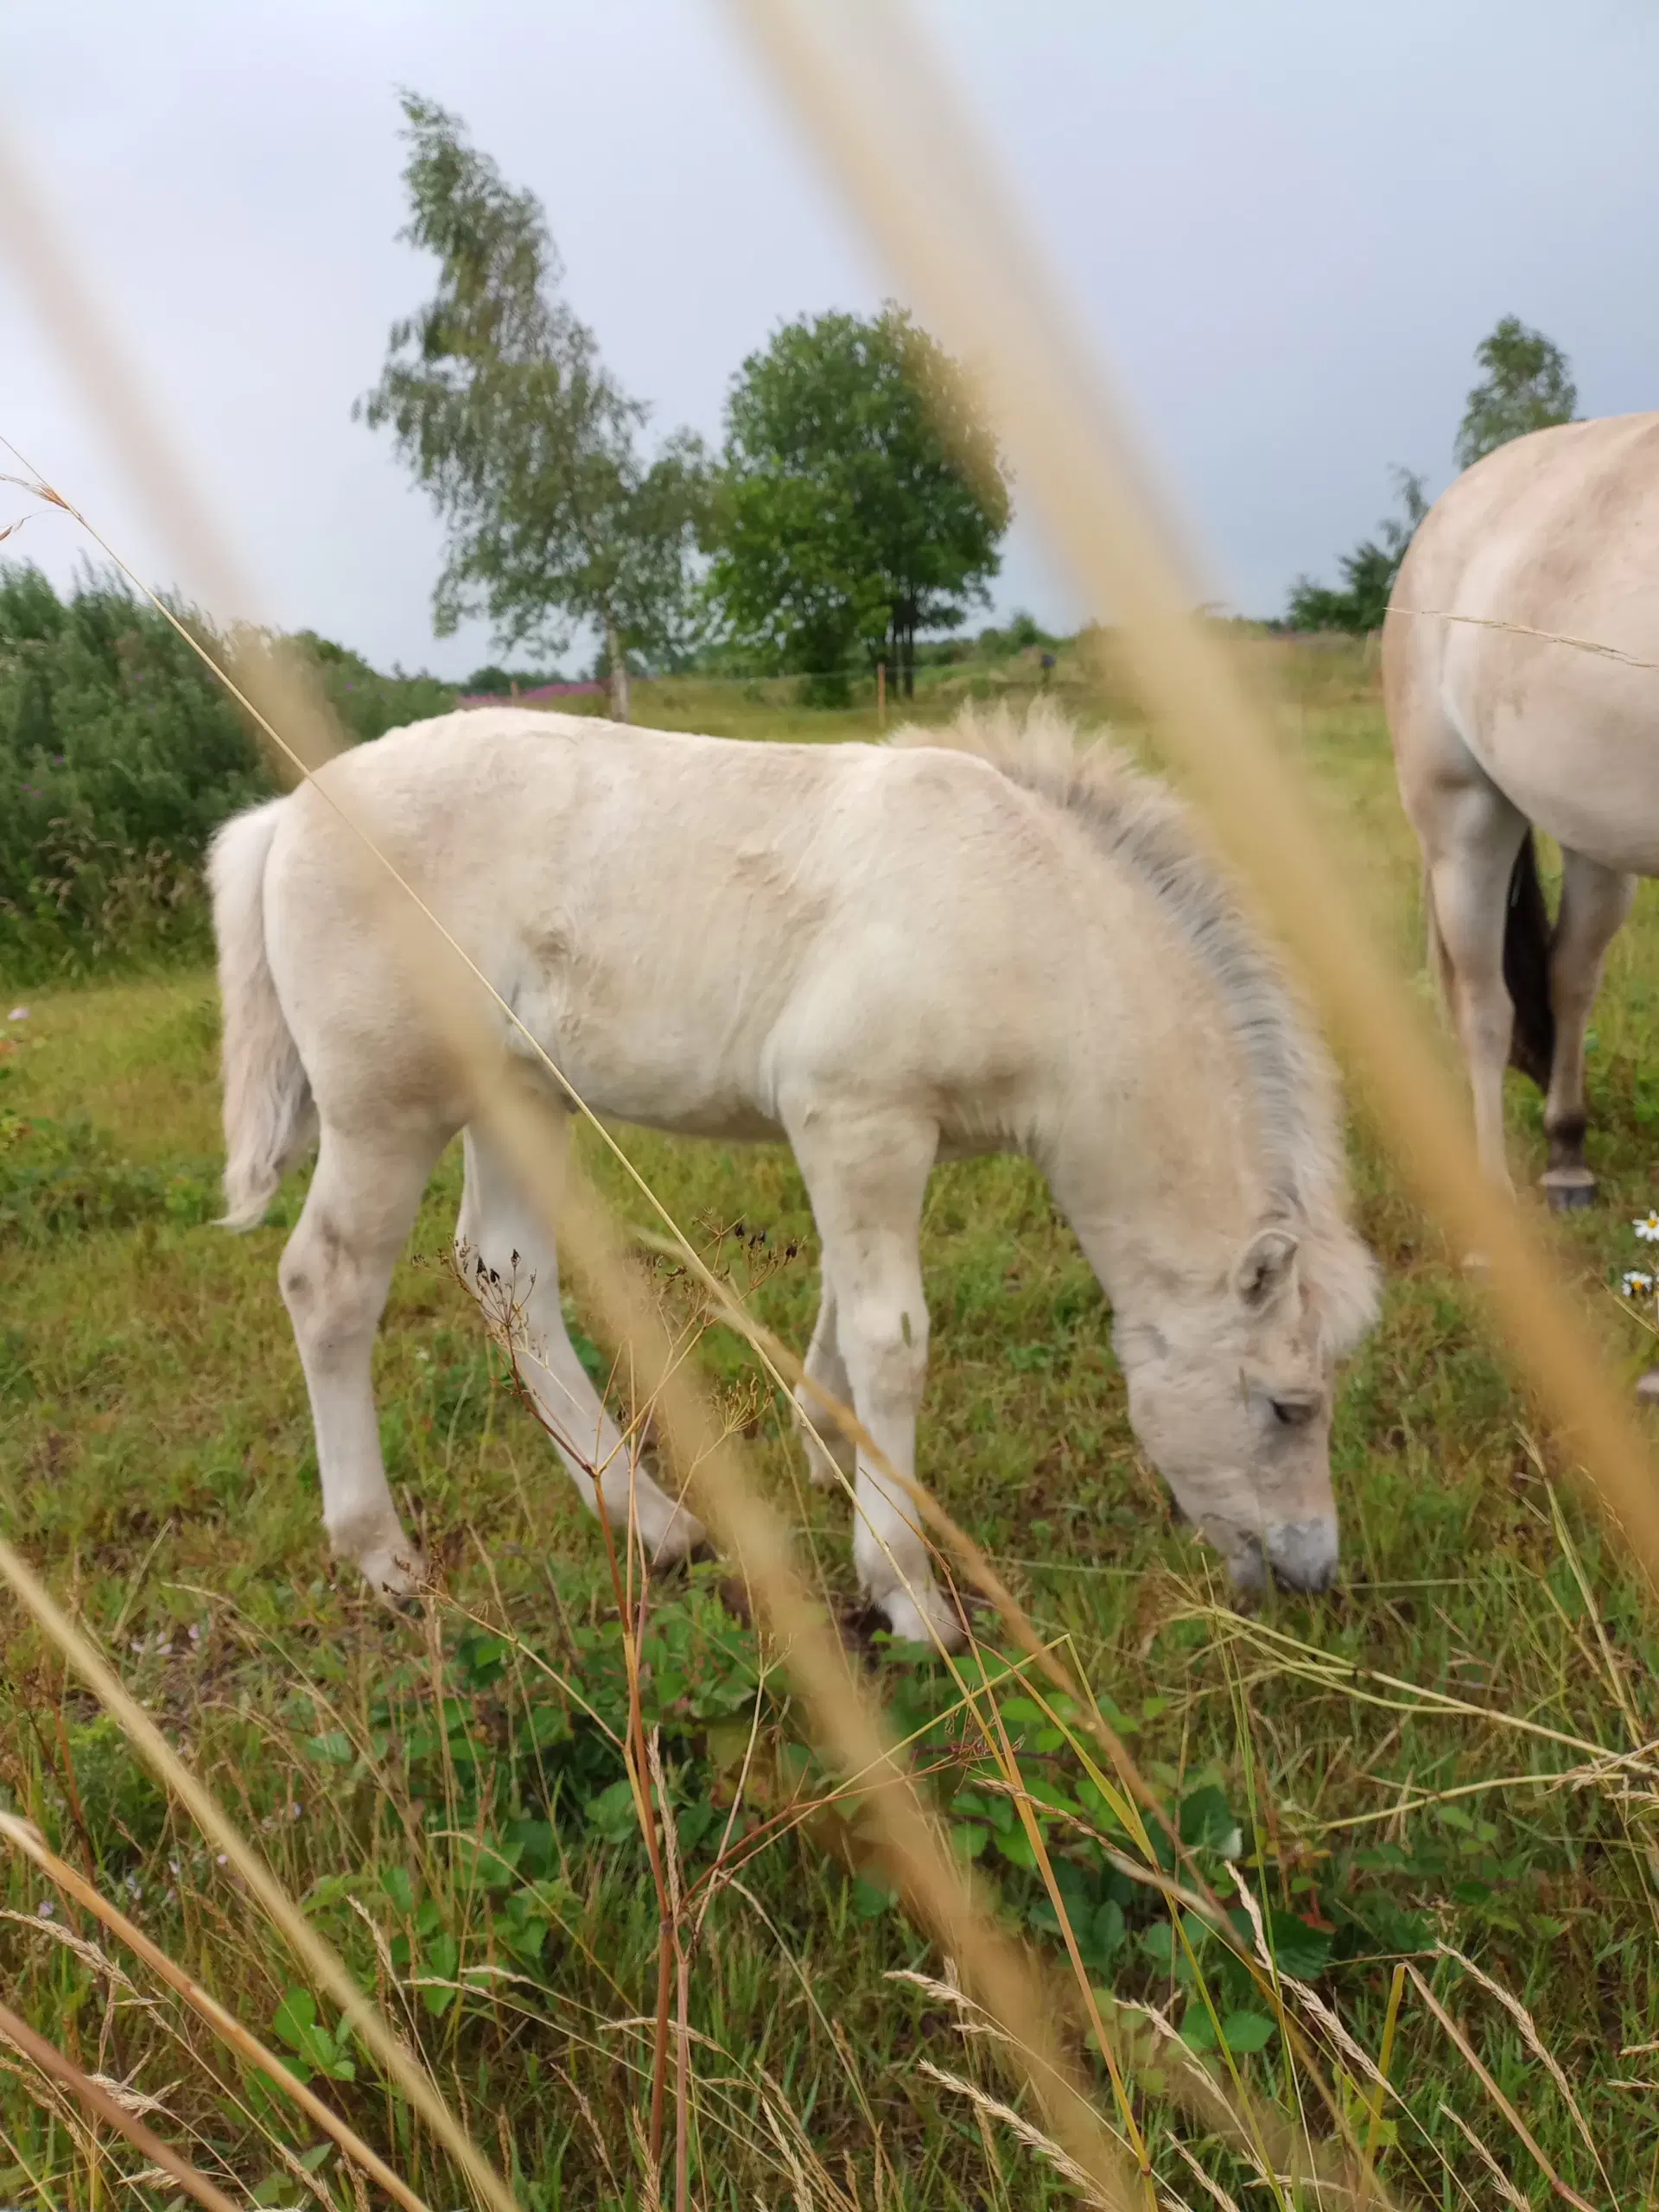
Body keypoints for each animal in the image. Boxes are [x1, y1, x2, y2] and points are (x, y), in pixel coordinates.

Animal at [207, 698, 1380, 1654]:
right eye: (1288, 1406)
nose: (1312, 1571)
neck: (1028, 921)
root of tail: (288, 816)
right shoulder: (859, 1117)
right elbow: (895, 1339)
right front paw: (906, 1588)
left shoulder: (868, 1138)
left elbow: (841, 1302)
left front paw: (828, 1449)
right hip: (387, 1108)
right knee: (330, 1285)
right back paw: (382, 1555)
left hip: (520, 1095)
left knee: (508, 1274)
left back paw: (654, 1525)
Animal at [1380, 416, 1659, 1211]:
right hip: (1464, 821)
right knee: (1485, 1007)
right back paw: (1493, 1193)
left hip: (1595, 831)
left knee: (1570, 975)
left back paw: (1567, 1154)